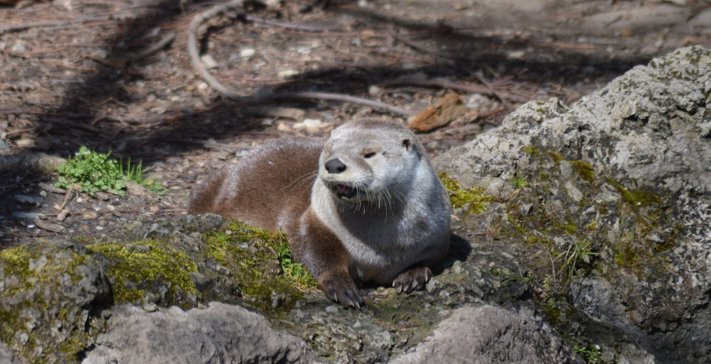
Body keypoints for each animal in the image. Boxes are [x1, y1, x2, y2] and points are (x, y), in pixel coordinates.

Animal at [191, 119, 450, 308]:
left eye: (369, 153)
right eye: (329, 149)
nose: (334, 164)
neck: (382, 246)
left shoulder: (437, 234)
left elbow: (433, 258)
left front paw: (413, 275)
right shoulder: (316, 219)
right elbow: (315, 250)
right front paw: (342, 288)